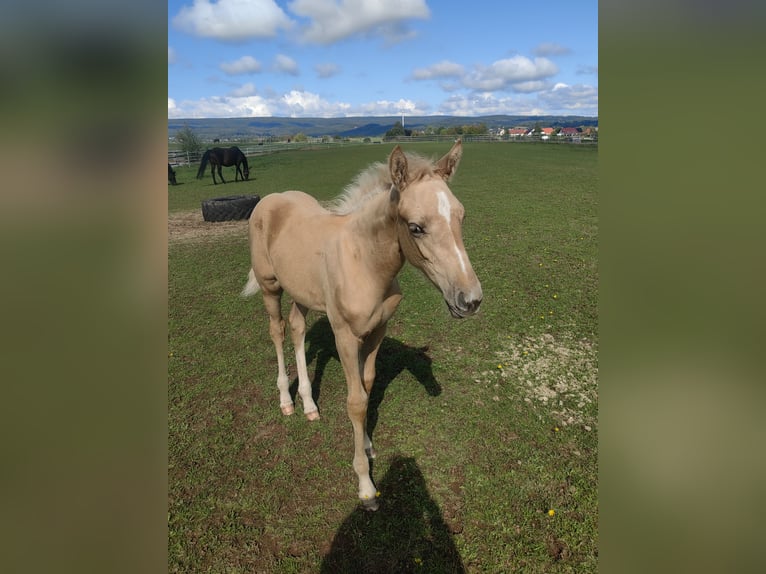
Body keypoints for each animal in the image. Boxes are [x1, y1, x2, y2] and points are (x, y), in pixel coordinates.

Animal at [241, 139, 482, 510]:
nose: (470, 300)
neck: (364, 261)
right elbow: (355, 401)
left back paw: (310, 405)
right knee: (277, 331)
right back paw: (286, 401)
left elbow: (367, 386)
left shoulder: (377, 331)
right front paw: (366, 486)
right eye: (416, 227)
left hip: (301, 290)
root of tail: (270, 199)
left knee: (296, 328)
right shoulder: (344, 335)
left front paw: (367, 443)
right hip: (270, 287)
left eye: (461, 216)